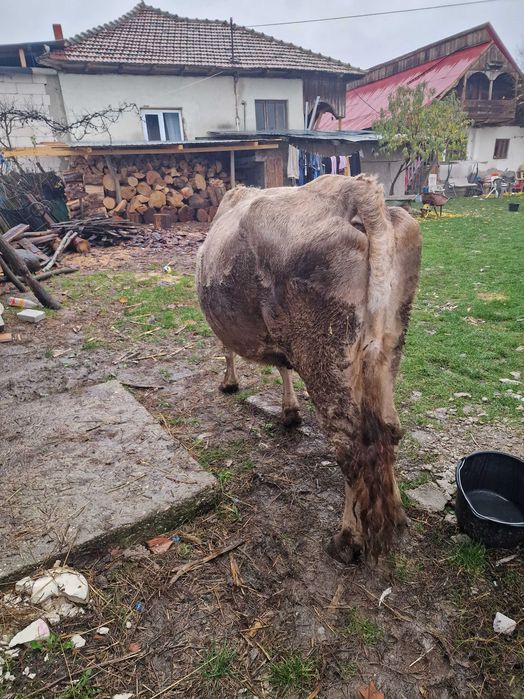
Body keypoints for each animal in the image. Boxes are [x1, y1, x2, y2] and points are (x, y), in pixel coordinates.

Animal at [196, 174, 421, 562]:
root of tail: (355, 190)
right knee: (389, 430)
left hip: (324, 354)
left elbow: (226, 351)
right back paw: (398, 520)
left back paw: (347, 541)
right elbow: (283, 368)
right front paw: (289, 412)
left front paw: (229, 383)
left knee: (351, 448)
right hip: (389, 345)